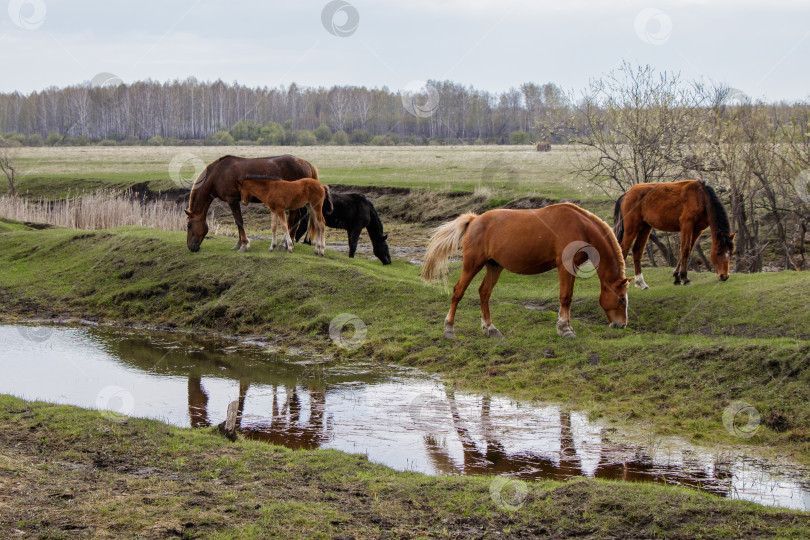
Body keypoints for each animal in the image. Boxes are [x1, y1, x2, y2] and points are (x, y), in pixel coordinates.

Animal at [186, 153, 318, 252]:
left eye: (189, 226)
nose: (190, 247)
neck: (218, 173)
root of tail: (307, 164)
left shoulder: (232, 200)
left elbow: (239, 221)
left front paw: (244, 245)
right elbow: (237, 222)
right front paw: (239, 244)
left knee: (294, 218)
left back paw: (283, 244)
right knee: (295, 218)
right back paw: (287, 243)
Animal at [420, 202, 628, 338]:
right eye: (621, 299)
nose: (621, 325)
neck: (581, 226)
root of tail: (474, 219)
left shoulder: (573, 267)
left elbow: (568, 296)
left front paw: (565, 326)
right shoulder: (565, 266)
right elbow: (565, 297)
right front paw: (565, 329)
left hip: (494, 266)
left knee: (484, 293)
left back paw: (490, 328)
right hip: (472, 265)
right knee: (458, 291)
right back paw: (449, 328)